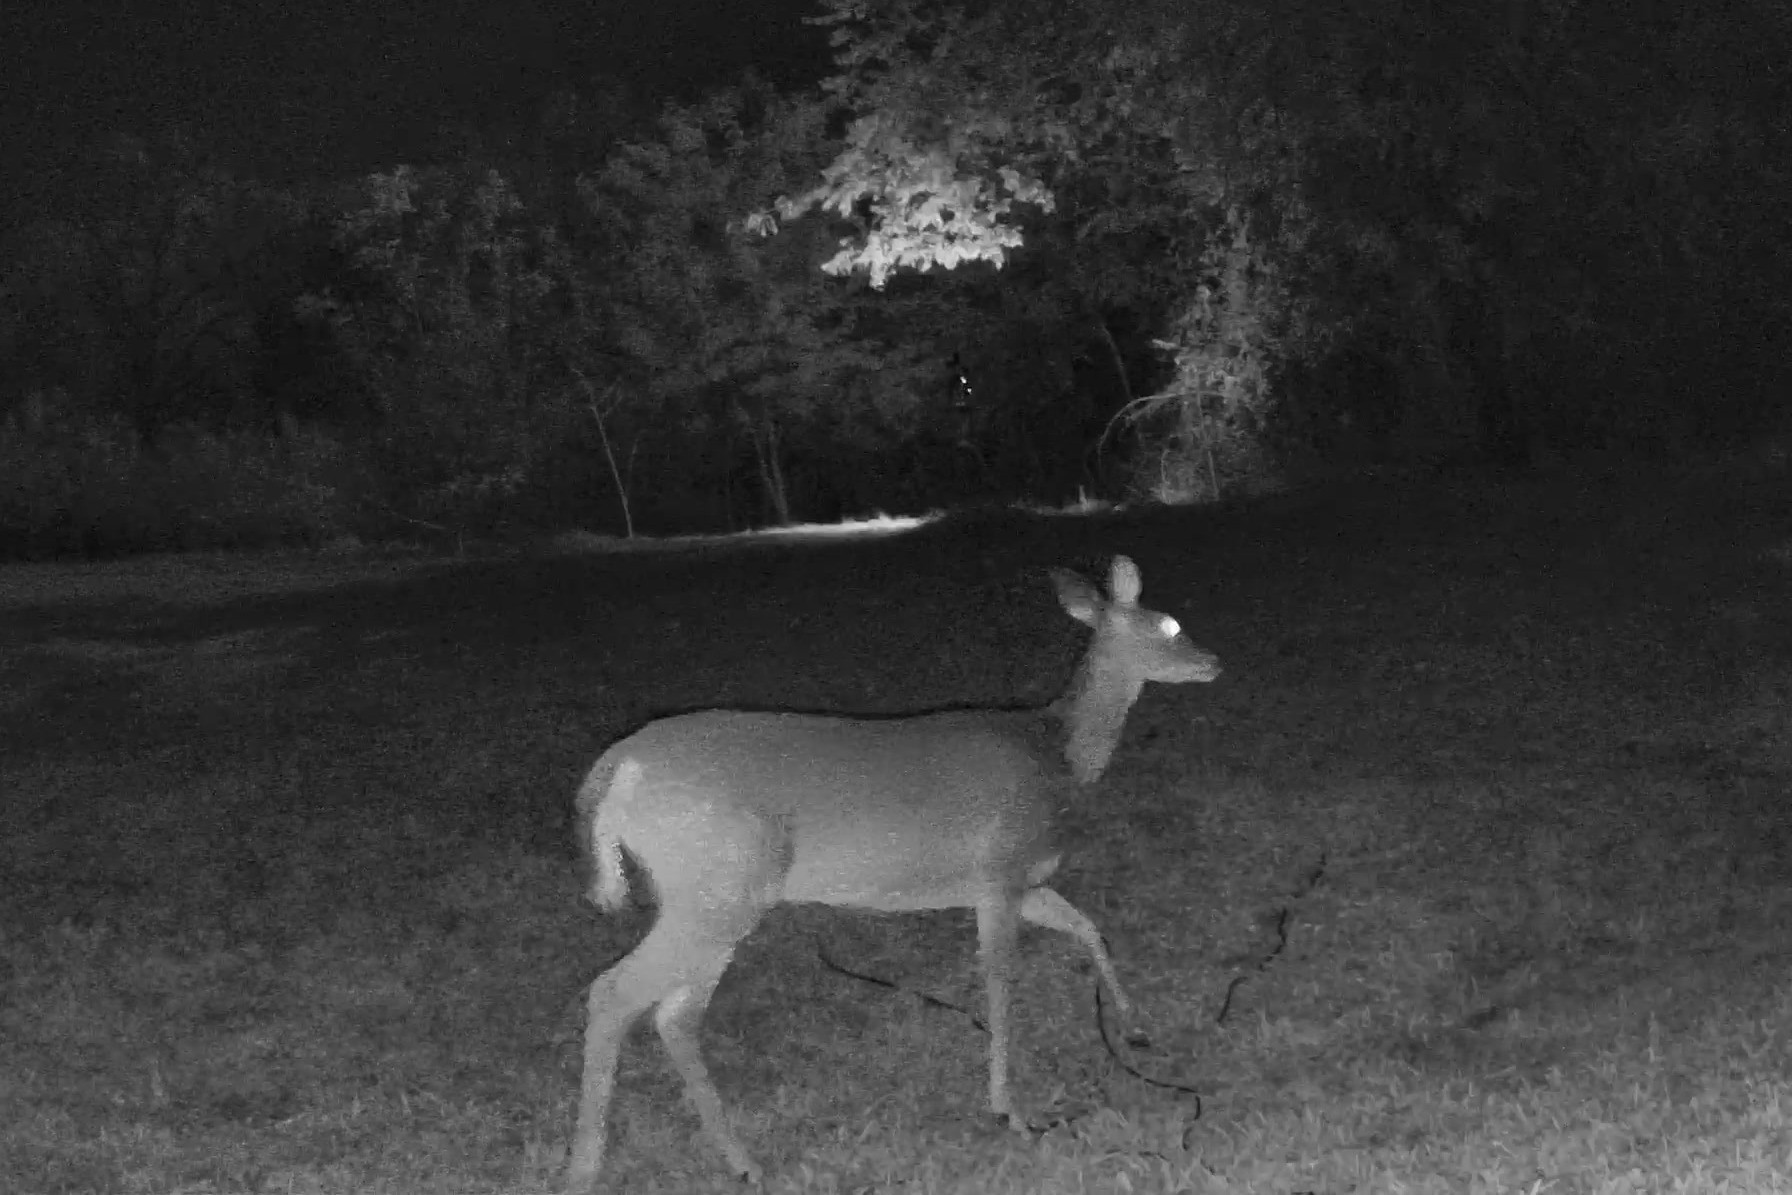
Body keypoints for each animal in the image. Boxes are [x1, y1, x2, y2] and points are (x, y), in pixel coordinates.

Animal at [565, 556, 1221, 1189]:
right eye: (1168, 626)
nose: (1212, 661)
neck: (1055, 751)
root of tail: (615, 767)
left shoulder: (1026, 882)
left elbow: (1088, 928)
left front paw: (1135, 1026)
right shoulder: (1000, 872)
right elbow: (1001, 983)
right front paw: (1009, 1108)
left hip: (711, 895)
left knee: (674, 1015)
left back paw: (742, 1162)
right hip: (717, 885)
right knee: (615, 993)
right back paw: (586, 1167)